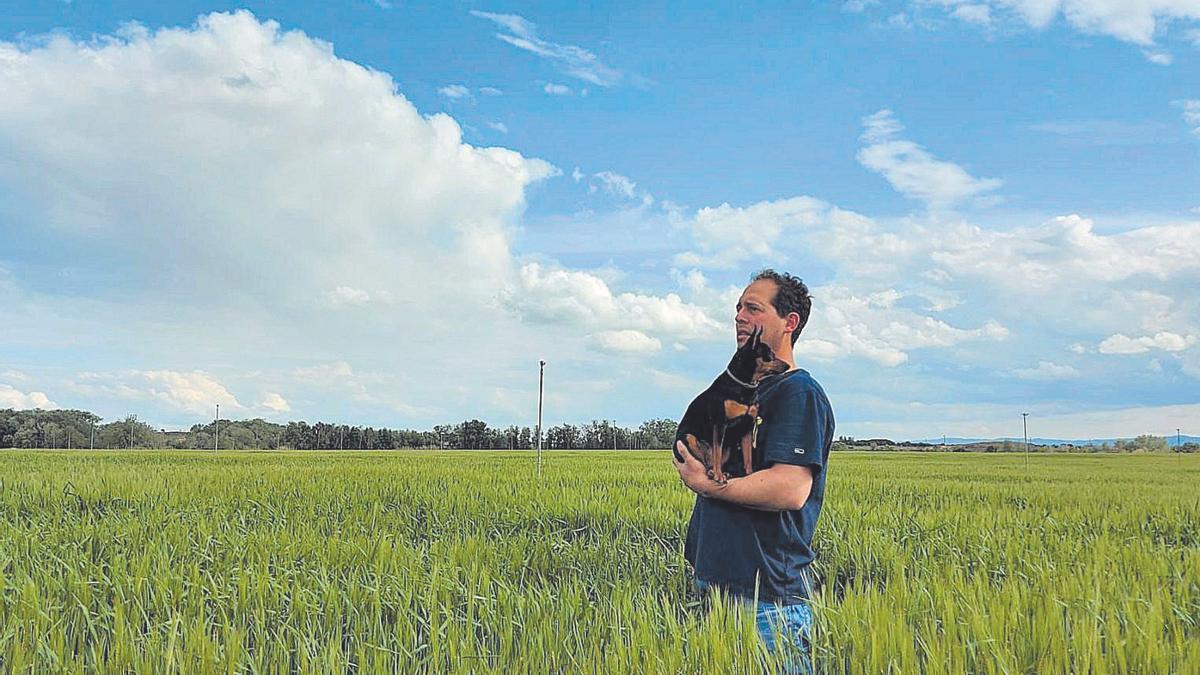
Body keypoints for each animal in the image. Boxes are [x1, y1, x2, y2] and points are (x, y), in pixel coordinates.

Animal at [672, 324, 792, 478]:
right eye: (770, 355)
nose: (788, 366)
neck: (745, 386)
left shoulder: (747, 427)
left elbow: (748, 457)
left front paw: (749, 474)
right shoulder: (720, 423)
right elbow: (717, 452)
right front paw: (718, 476)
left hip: (728, 448)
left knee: (710, 461)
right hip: (688, 438)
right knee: (705, 461)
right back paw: (714, 472)